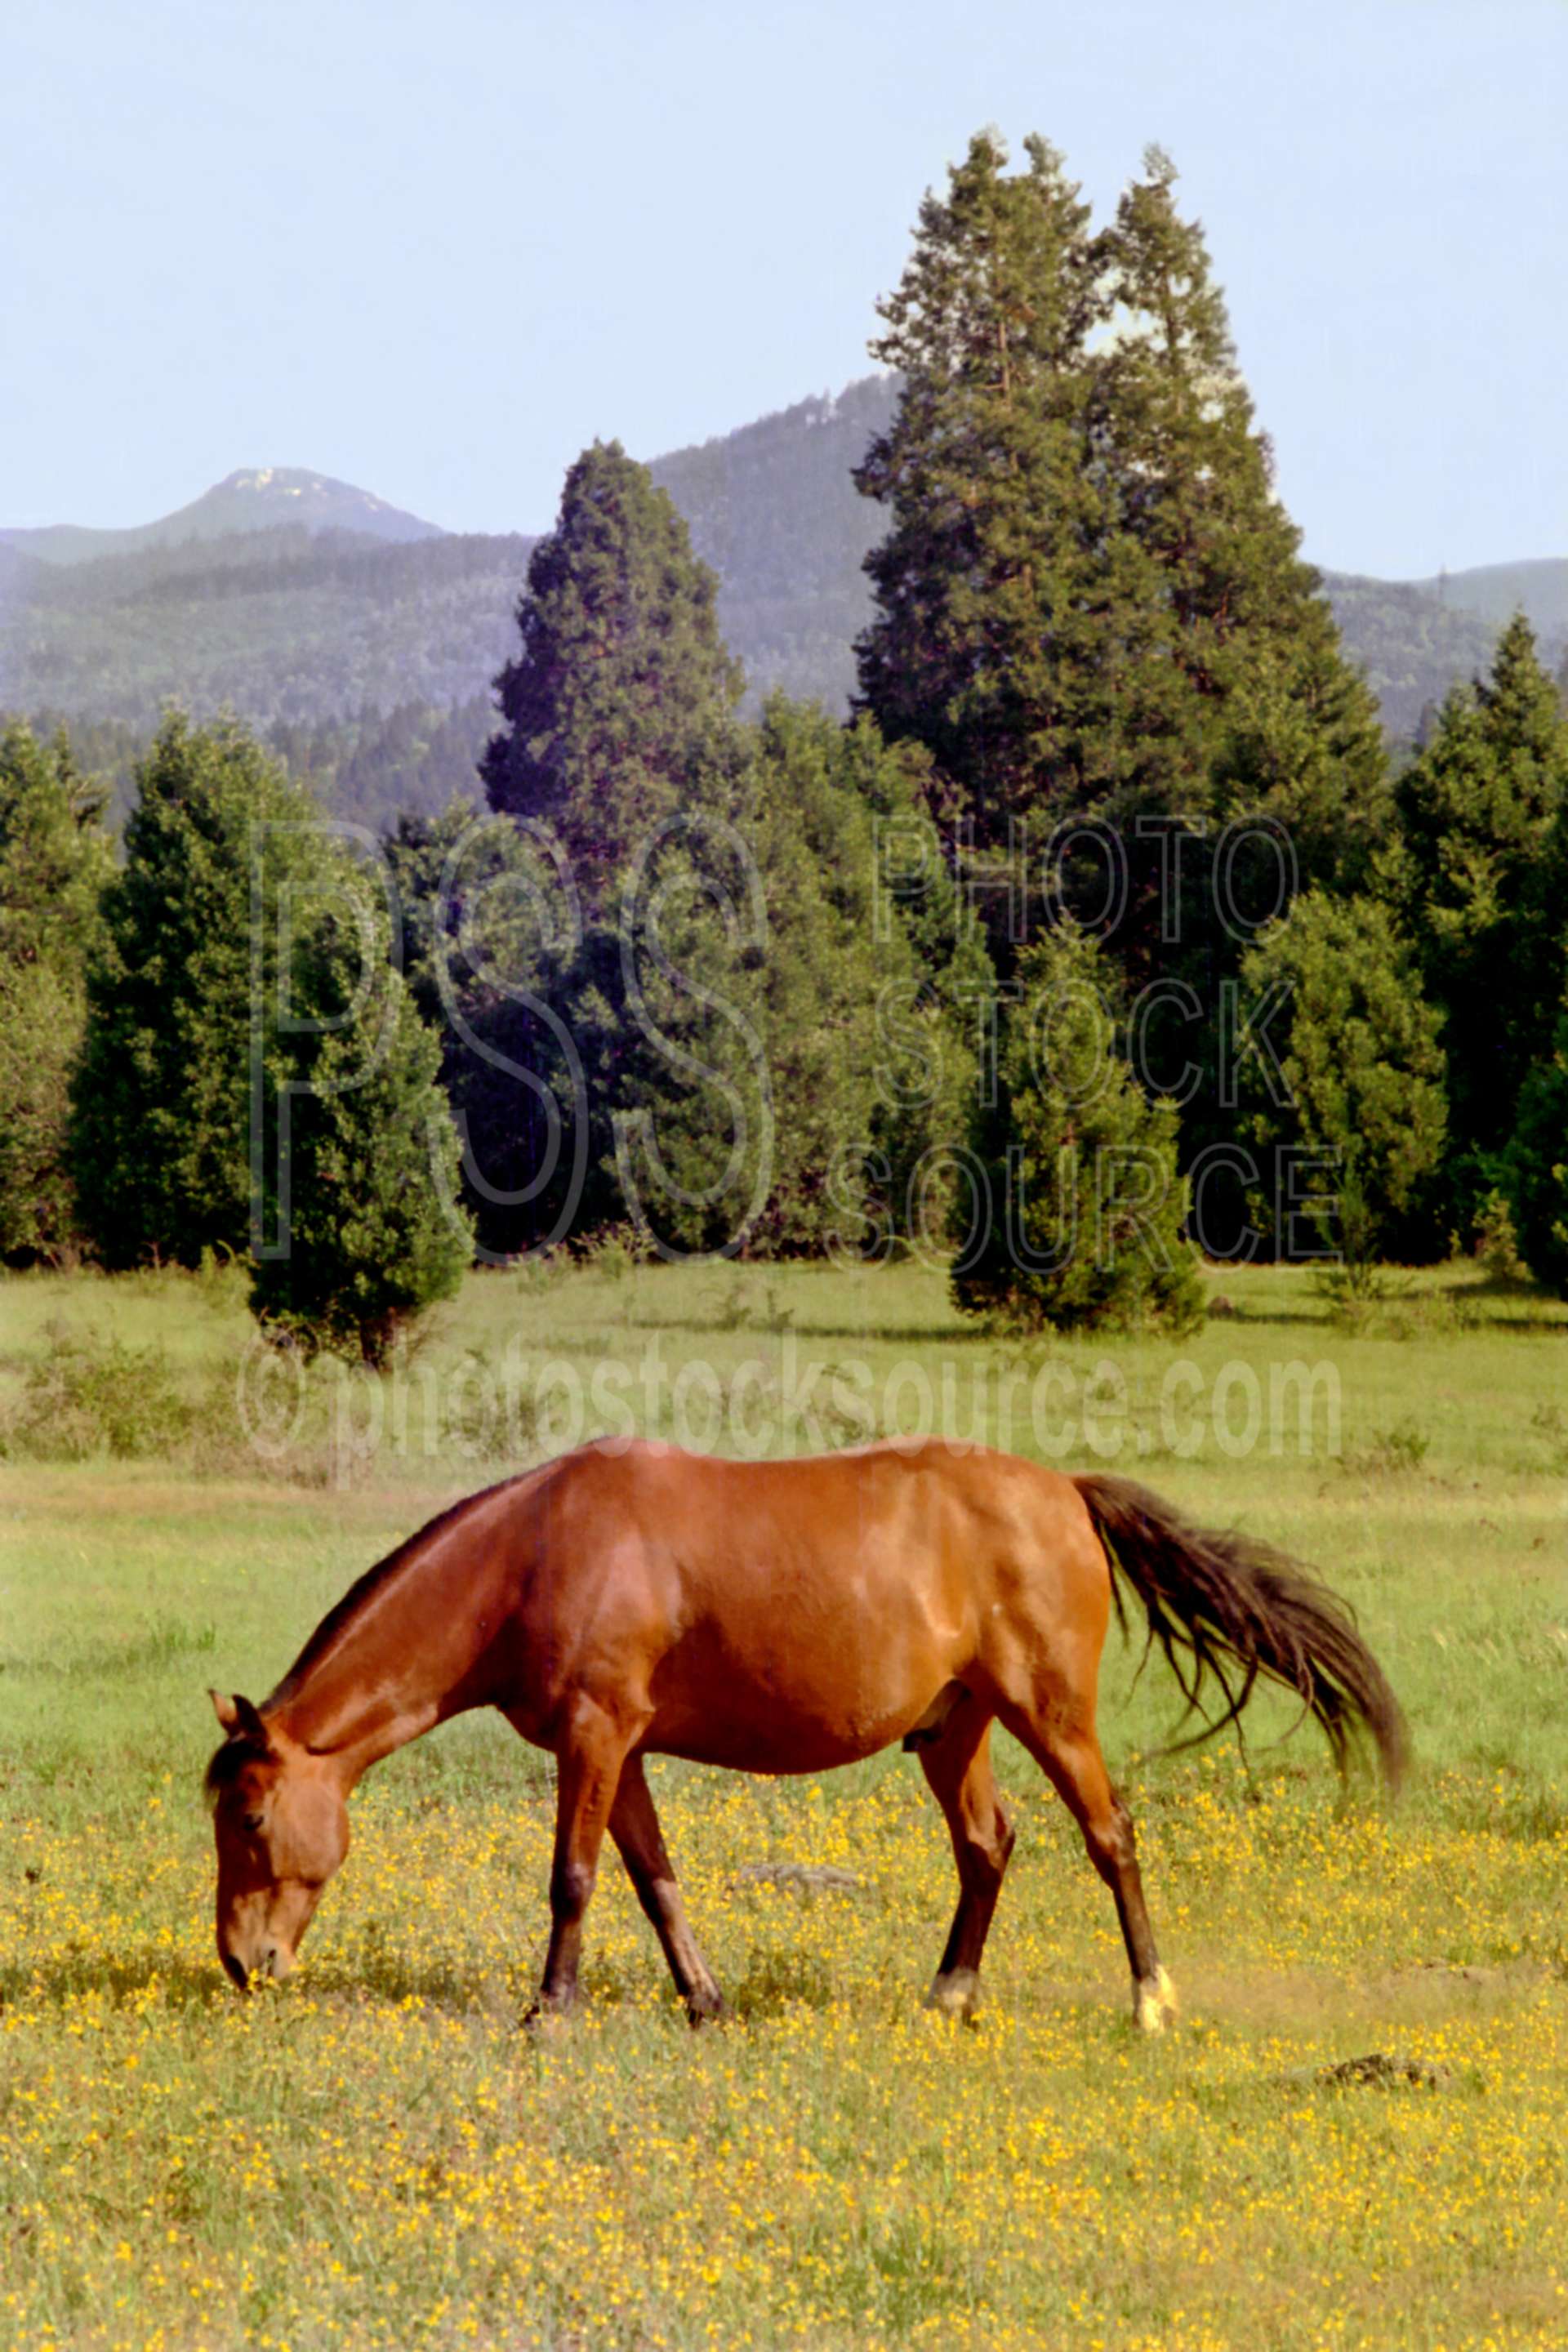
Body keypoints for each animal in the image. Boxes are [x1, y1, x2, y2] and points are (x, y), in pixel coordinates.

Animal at [202, 1439, 1401, 2032]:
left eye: (250, 1818)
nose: (244, 1964)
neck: (538, 1552)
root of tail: (1063, 1491)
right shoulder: (621, 1751)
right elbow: (655, 1881)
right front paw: (704, 2002)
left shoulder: (597, 1736)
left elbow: (574, 1881)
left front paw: (549, 2013)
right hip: (955, 1730)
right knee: (988, 1847)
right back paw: (949, 1995)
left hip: (1050, 1713)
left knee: (1113, 1841)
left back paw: (1151, 2002)